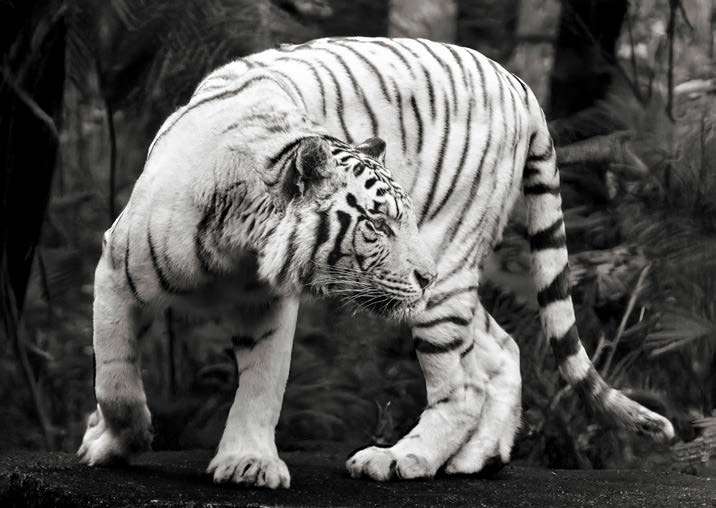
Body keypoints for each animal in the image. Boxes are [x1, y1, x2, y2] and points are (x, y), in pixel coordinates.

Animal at [77, 37, 674, 489]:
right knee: (501, 350)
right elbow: (115, 380)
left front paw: (247, 463)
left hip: (446, 271)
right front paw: (113, 439)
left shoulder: (269, 306)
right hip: (449, 287)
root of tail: (520, 85)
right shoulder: (116, 271)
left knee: (461, 387)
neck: (239, 244)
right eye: (379, 224)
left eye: (400, 221)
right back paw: (476, 459)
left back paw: (404, 459)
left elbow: (262, 385)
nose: (423, 273)